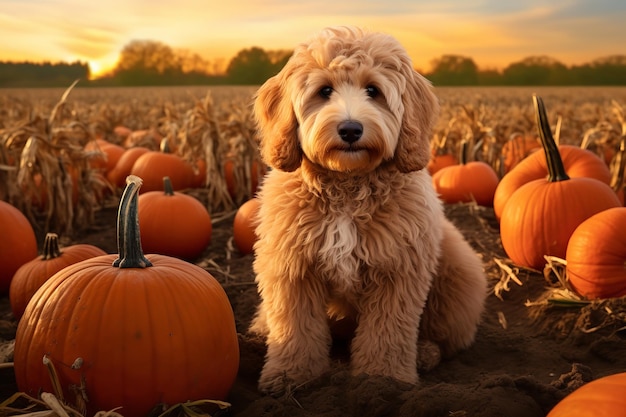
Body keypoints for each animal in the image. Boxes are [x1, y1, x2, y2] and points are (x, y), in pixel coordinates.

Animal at [246, 26, 486, 394]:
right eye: (324, 91)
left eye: (373, 90)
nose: (350, 129)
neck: (348, 186)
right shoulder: (292, 267)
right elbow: (295, 326)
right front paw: (290, 375)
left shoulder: (397, 269)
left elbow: (387, 329)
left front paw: (381, 379)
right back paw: (261, 330)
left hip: (459, 272)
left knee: (443, 335)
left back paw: (425, 353)